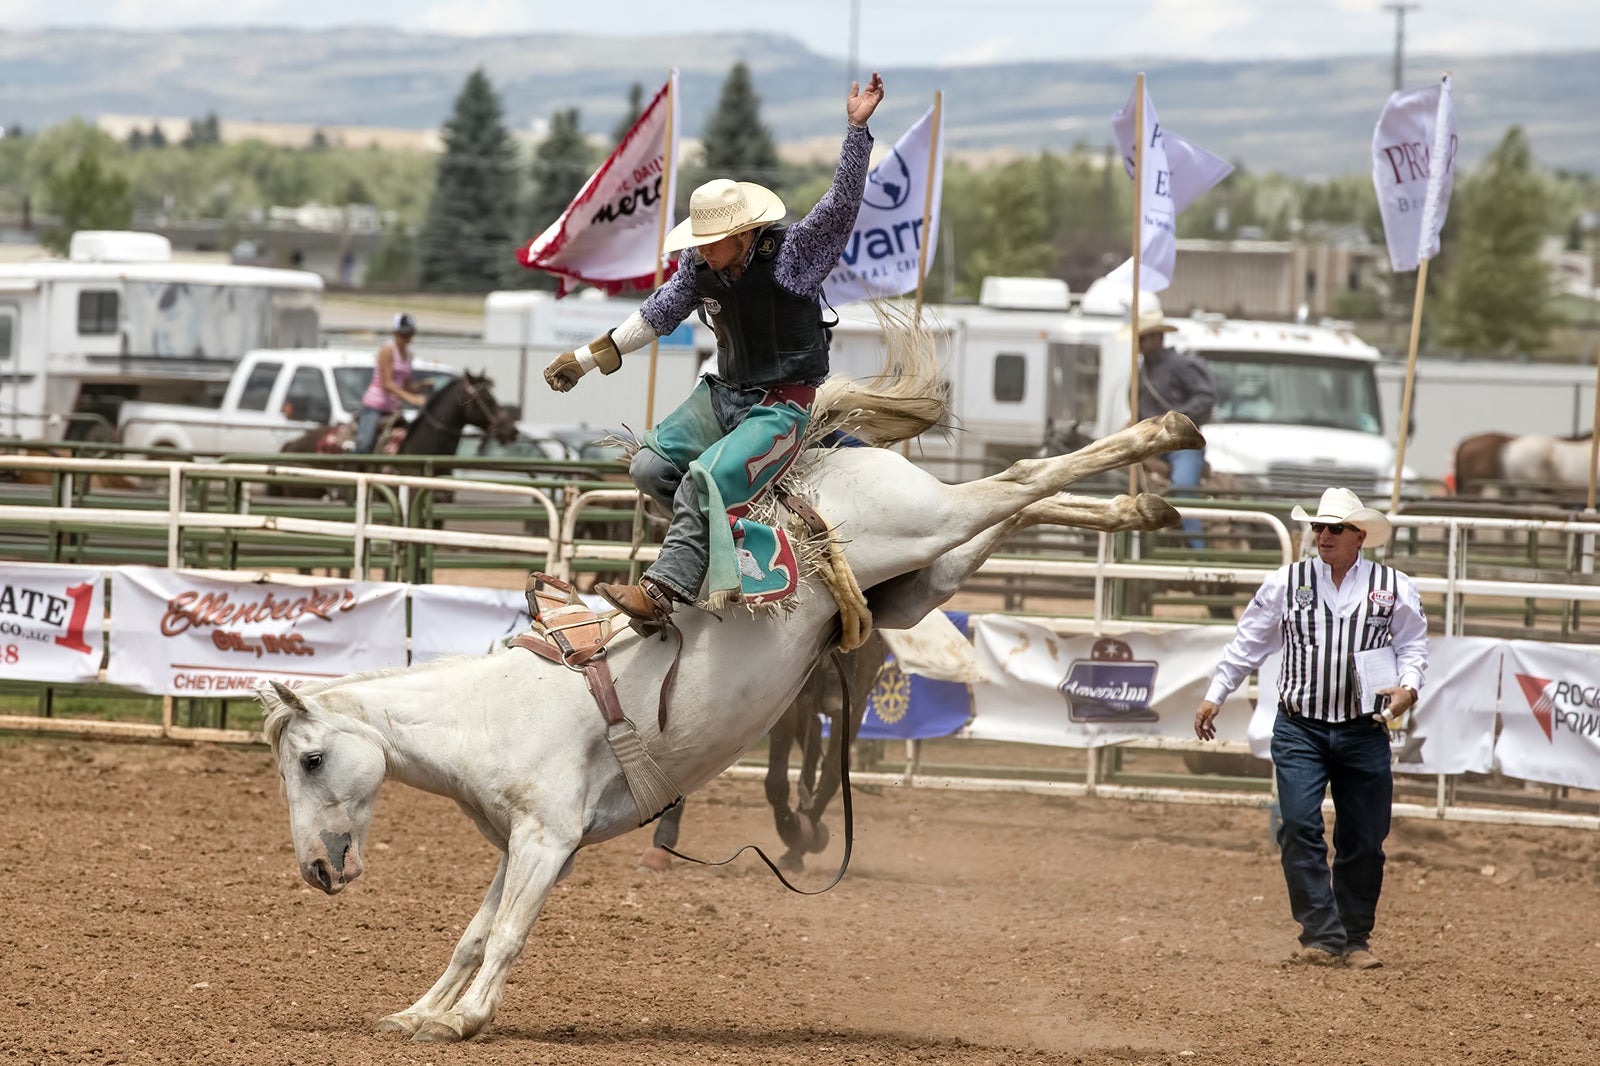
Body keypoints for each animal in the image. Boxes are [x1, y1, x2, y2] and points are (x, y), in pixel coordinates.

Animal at [256, 372, 1196, 1037]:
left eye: (310, 759)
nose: (313, 871)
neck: (486, 713)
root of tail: (810, 461)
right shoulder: (521, 843)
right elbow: (475, 931)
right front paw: (421, 1011)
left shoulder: (549, 837)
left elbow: (509, 932)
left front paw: (467, 1019)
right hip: (923, 576)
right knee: (1016, 504)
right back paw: (1141, 502)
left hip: (920, 522)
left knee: (1021, 475)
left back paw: (1166, 434)